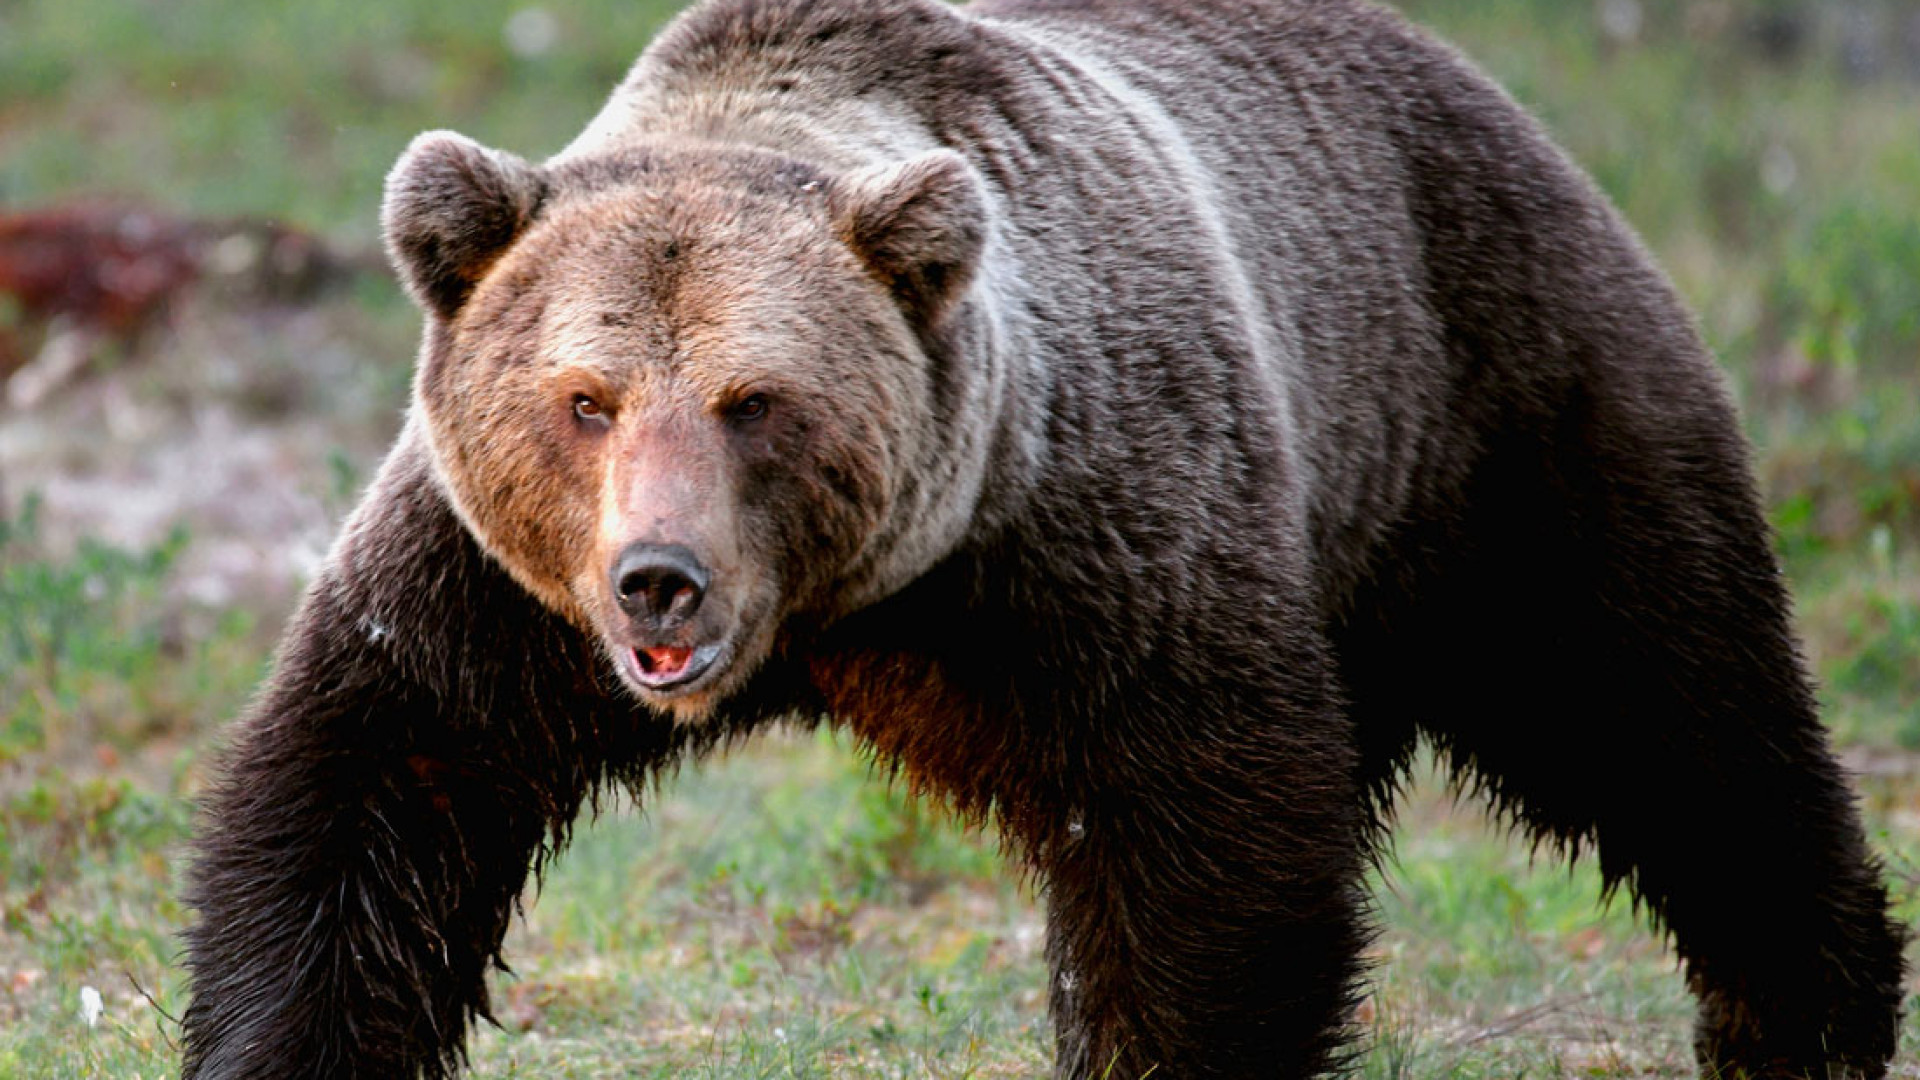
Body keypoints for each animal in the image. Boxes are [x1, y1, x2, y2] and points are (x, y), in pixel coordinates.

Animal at [176, 0, 1904, 1068]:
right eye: (585, 399)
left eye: (754, 401)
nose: (659, 580)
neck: (846, 614)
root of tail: (1477, 90)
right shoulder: (495, 599)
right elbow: (366, 794)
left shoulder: (1090, 540)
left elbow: (1202, 849)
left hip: (1499, 415)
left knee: (1672, 709)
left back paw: (1808, 1015)